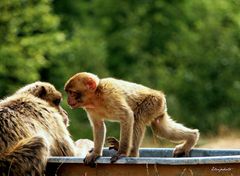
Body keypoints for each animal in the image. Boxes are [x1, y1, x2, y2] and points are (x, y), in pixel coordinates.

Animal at [64, 72, 200, 165]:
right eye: (68, 92)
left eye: (72, 92)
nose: (68, 100)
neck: (96, 97)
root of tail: (160, 94)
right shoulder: (90, 108)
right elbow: (98, 126)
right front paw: (96, 153)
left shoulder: (110, 95)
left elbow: (127, 116)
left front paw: (122, 153)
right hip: (158, 108)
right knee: (160, 129)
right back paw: (192, 137)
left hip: (154, 102)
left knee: (138, 118)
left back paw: (132, 153)